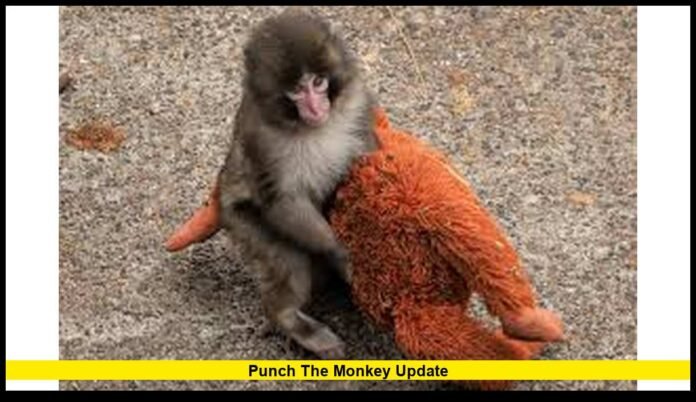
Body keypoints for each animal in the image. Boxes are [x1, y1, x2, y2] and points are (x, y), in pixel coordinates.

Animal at [216, 10, 378, 359]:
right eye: (296, 91)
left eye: (317, 83)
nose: (316, 108)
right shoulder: (261, 138)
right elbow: (283, 201)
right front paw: (342, 254)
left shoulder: (357, 102)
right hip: (240, 220)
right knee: (288, 261)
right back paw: (288, 318)